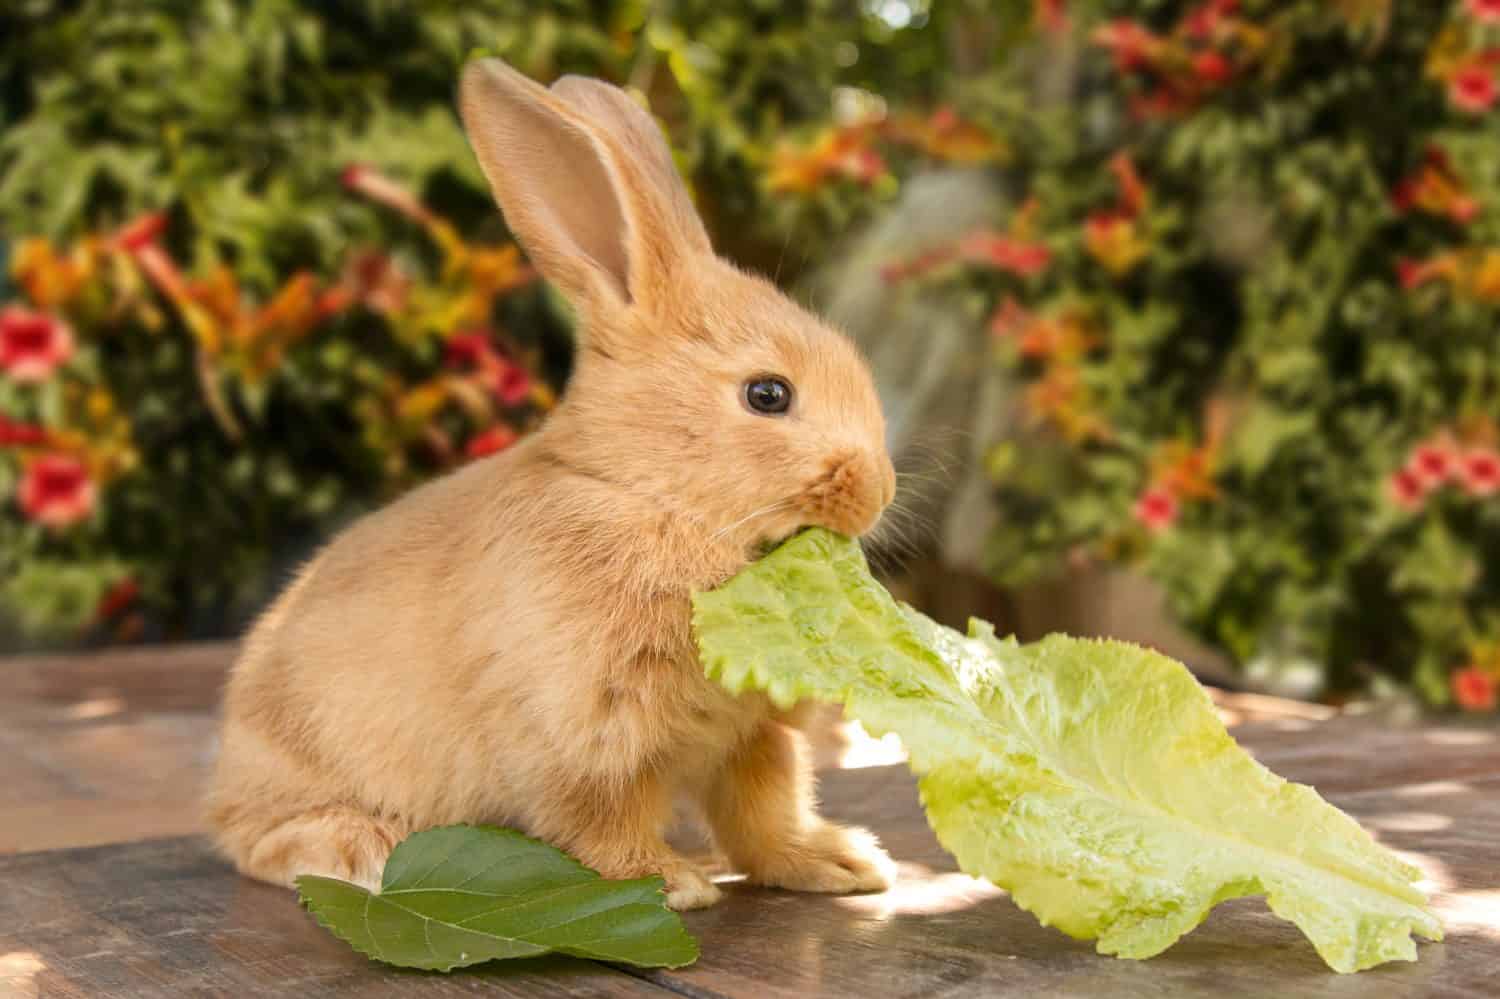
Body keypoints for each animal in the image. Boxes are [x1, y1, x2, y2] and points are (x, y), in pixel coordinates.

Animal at [205, 58, 894, 906]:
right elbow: (600, 820)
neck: (643, 494)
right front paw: (671, 882)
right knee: (257, 842)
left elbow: (767, 810)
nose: (877, 491)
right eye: (768, 394)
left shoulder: (750, 730)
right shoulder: (583, 734)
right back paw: (359, 848)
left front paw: (841, 863)